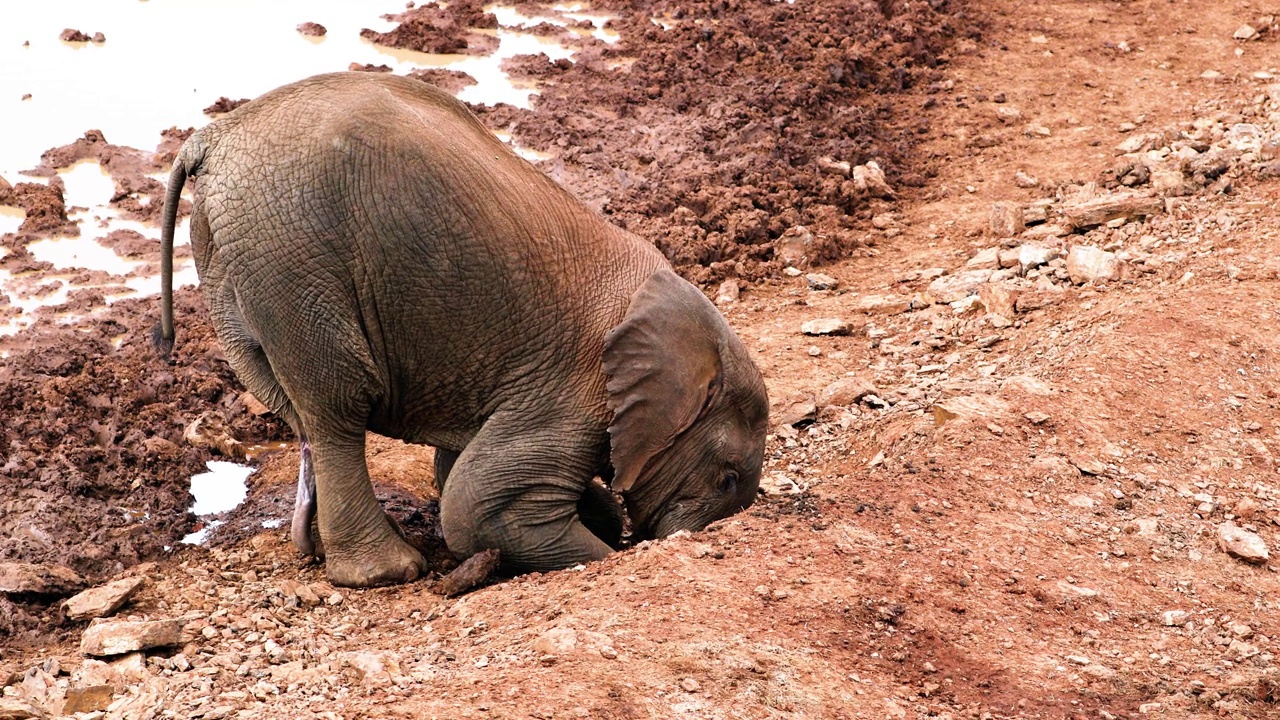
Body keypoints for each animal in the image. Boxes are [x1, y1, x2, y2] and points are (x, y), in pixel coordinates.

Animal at [153, 71, 762, 589]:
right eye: (728, 478)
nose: (655, 541)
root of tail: (211, 137)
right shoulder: (577, 389)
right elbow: (478, 503)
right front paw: (604, 549)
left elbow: (457, 471)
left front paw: (601, 517)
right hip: (292, 255)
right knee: (336, 407)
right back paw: (389, 573)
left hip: (235, 259)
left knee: (295, 403)